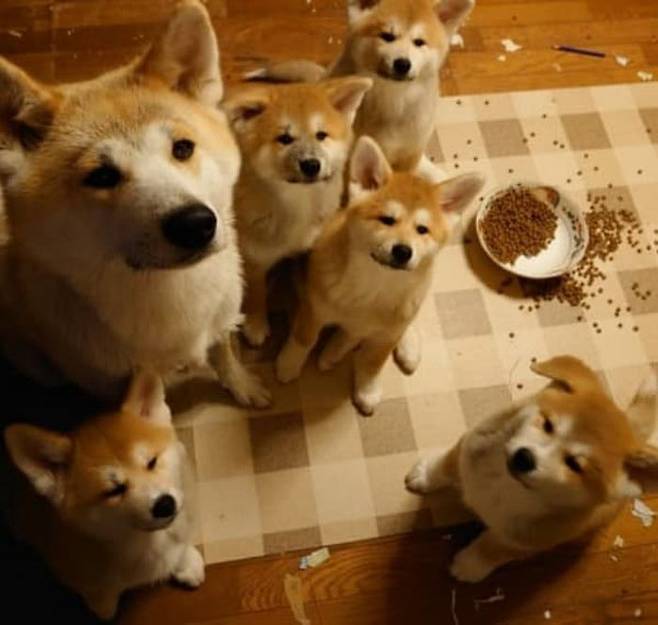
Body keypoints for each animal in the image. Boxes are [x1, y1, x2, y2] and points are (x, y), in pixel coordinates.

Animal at [0, 1, 270, 408]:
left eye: (182, 148)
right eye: (102, 176)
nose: (194, 223)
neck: (173, 296)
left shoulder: (222, 317)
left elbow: (225, 354)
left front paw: (244, 385)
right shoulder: (109, 382)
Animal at [4, 370, 203, 620]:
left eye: (151, 462)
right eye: (114, 490)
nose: (165, 504)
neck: (144, 541)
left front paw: (185, 561)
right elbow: (102, 599)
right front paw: (104, 606)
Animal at [223, 77, 372, 347]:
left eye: (321, 135)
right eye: (284, 138)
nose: (311, 165)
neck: (298, 205)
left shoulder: (311, 246)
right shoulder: (254, 256)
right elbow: (257, 292)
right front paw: (256, 322)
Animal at [275, 135, 484, 415]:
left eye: (422, 230)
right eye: (387, 220)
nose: (403, 251)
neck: (374, 287)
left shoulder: (387, 334)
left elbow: (373, 361)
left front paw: (367, 389)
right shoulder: (314, 308)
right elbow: (303, 339)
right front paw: (288, 364)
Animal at [406, 356, 658, 582]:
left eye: (574, 464)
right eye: (547, 424)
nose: (524, 458)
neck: (502, 482)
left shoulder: (523, 540)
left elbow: (491, 550)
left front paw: (469, 566)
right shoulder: (469, 444)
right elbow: (447, 464)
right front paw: (425, 475)